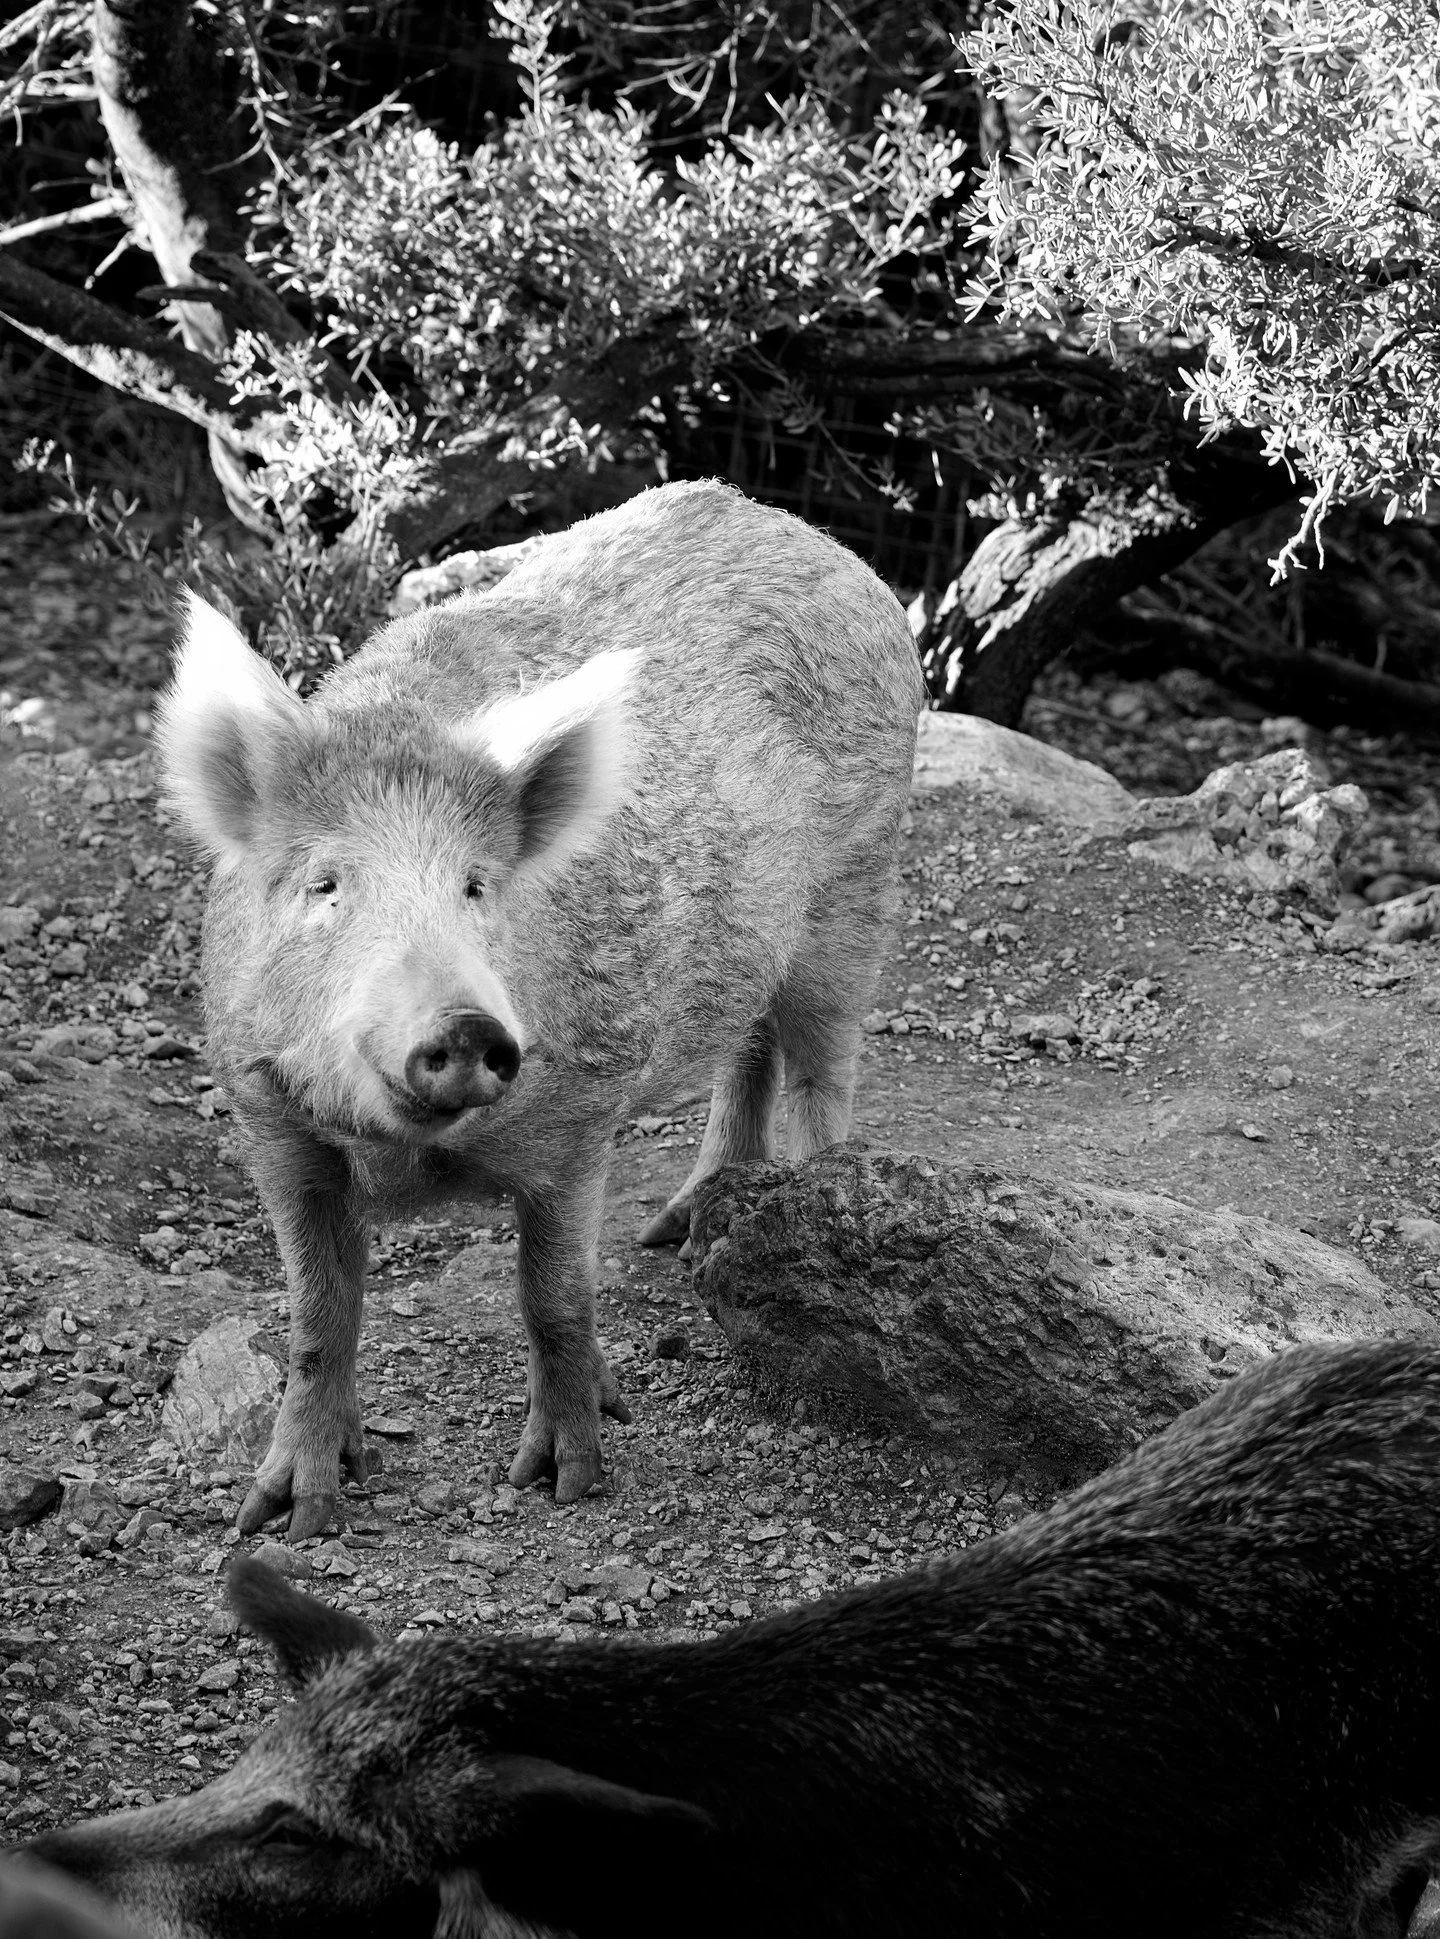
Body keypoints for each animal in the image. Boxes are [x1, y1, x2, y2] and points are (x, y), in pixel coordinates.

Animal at [155, 481, 924, 1534]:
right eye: (326, 884)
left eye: (477, 885)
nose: (466, 1026)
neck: (415, 1158)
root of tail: (821, 544)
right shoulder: (269, 1117)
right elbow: (318, 1316)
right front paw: (286, 1515)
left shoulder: (581, 1111)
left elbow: (554, 1298)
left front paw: (562, 1480)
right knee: (745, 1047)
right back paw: (678, 1230)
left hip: (860, 880)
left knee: (822, 1061)